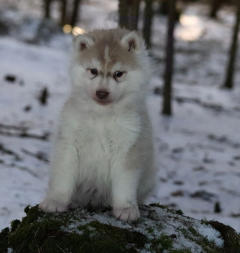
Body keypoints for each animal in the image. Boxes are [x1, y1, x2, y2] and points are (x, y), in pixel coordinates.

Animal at [39, 28, 155, 221]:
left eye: (118, 74)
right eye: (93, 71)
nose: (102, 93)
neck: (102, 115)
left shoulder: (128, 147)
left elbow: (125, 183)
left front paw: (126, 208)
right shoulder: (69, 144)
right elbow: (63, 176)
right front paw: (56, 201)